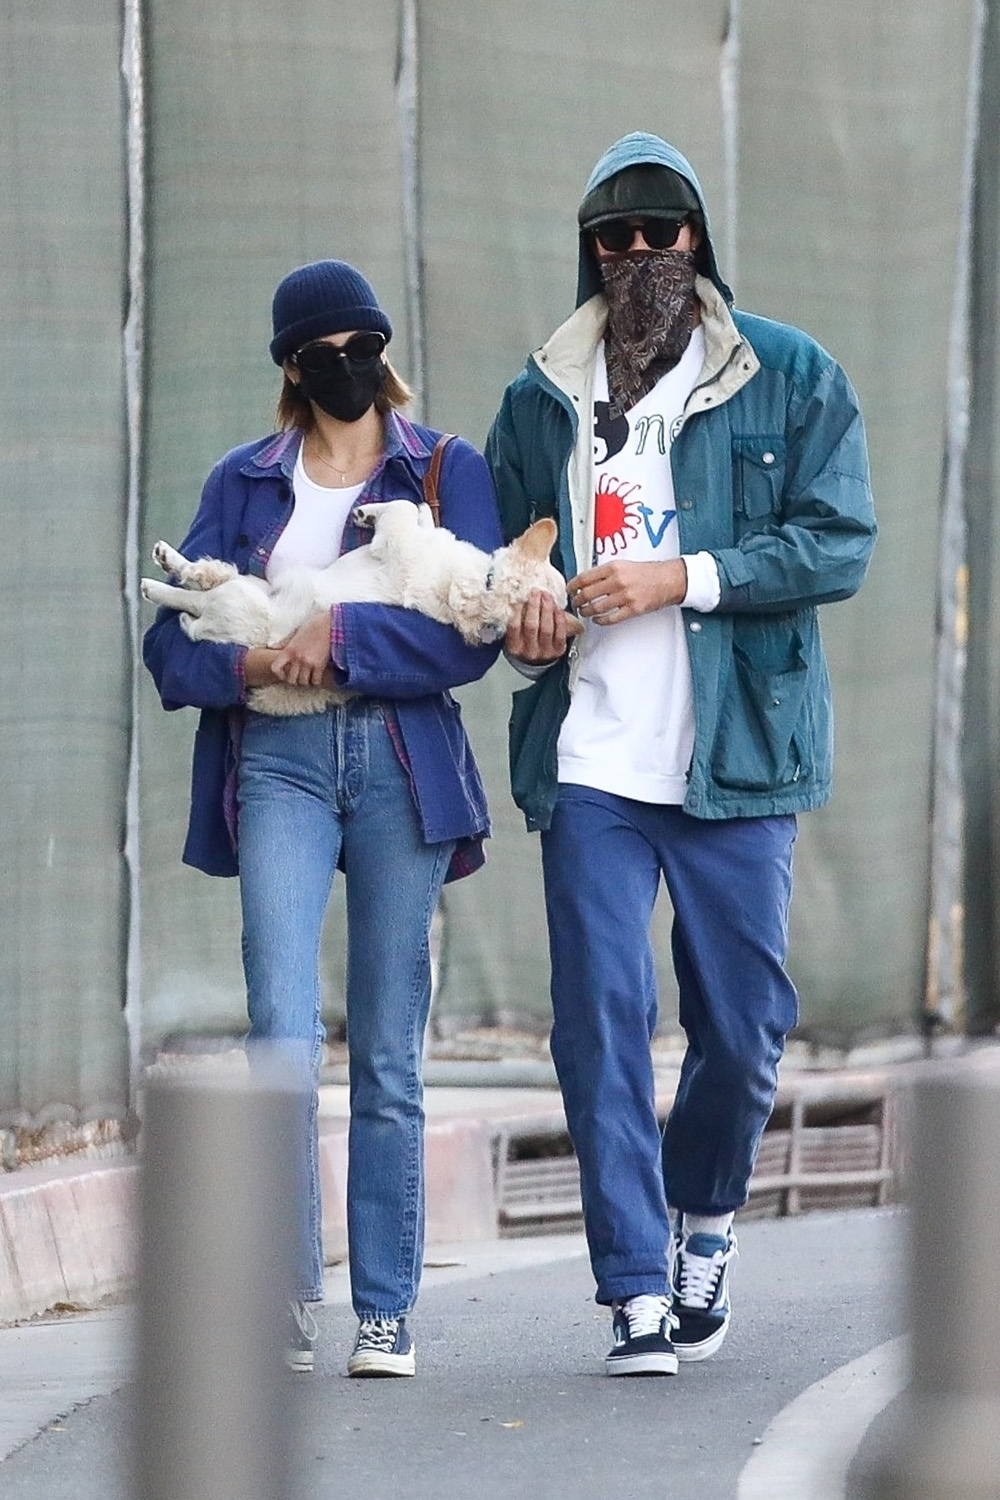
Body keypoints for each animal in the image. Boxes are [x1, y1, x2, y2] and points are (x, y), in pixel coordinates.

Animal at [140, 498, 578, 714]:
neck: (480, 585)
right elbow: (415, 509)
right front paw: (387, 511)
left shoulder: (396, 541)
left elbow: (403, 510)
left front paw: (377, 511)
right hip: (254, 586)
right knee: (208, 580)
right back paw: (173, 562)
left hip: (238, 605)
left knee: (195, 605)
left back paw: (161, 589)